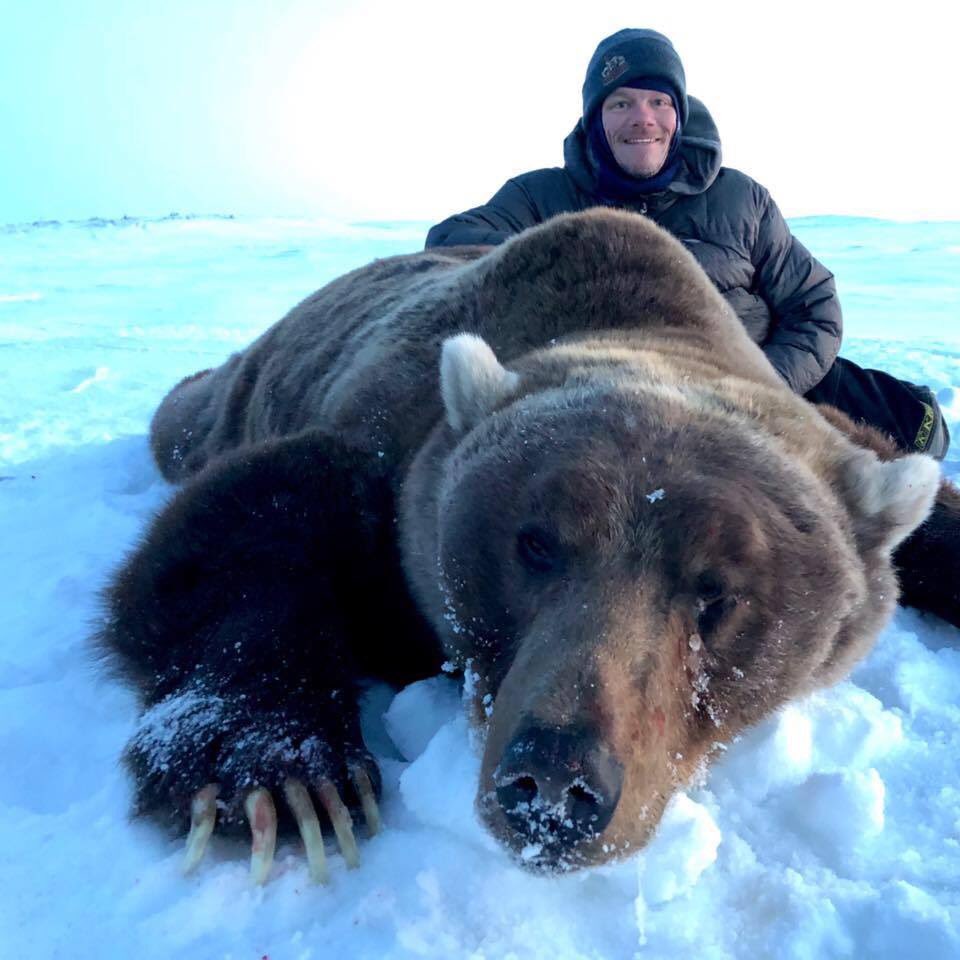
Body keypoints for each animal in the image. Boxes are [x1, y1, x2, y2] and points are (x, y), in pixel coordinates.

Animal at [99, 207, 952, 883]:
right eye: (535, 545)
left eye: (718, 591)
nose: (554, 778)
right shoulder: (384, 459)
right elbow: (243, 526)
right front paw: (286, 781)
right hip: (225, 398)